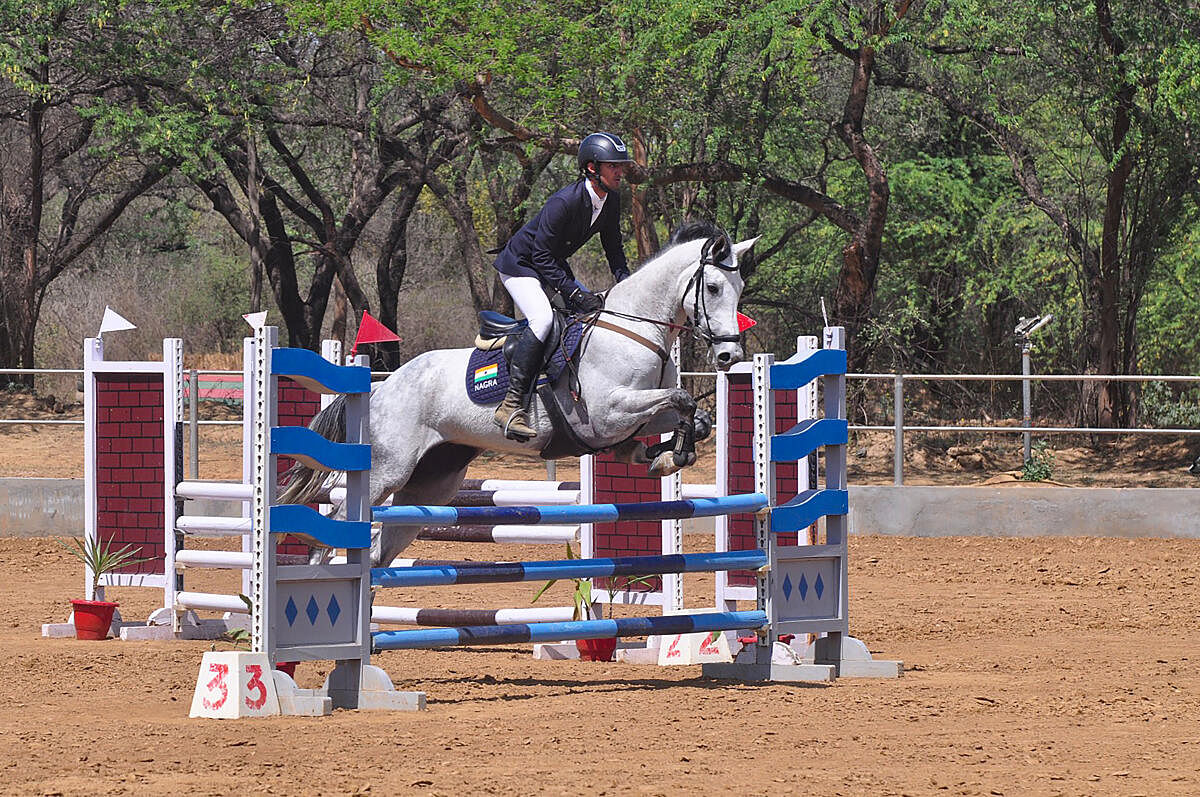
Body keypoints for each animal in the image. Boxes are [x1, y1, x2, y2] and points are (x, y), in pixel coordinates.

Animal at [277, 219, 753, 566]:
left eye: (740, 290)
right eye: (713, 288)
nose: (729, 355)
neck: (633, 329)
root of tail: (382, 387)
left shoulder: (632, 413)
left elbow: (693, 416)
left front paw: (664, 454)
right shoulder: (605, 413)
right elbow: (682, 400)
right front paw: (668, 454)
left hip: (429, 486)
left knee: (377, 554)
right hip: (386, 471)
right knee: (332, 537)